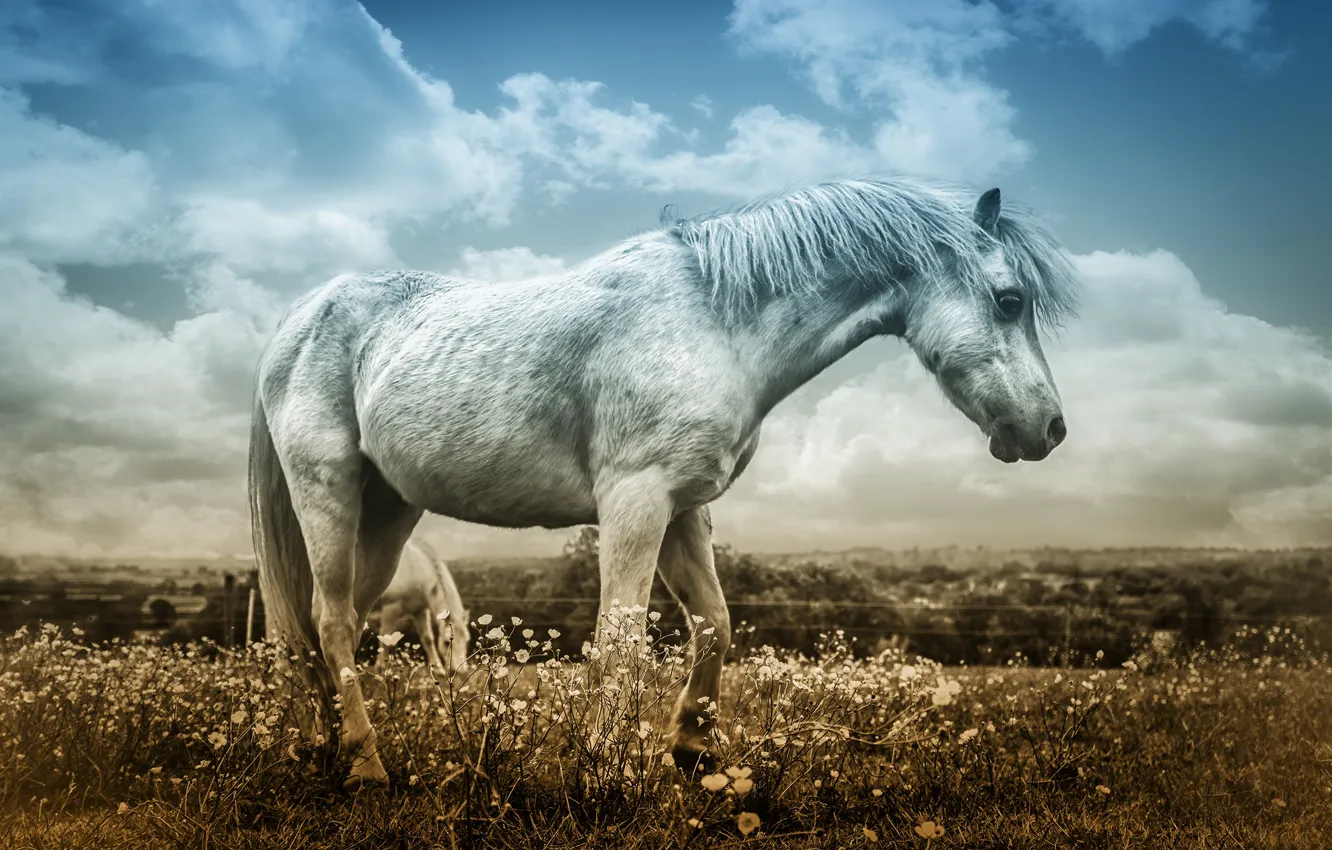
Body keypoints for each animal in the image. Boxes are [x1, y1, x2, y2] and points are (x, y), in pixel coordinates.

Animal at [365, 537, 470, 676]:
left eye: (466, 640)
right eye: (446, 642)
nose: (461, 671)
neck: (414, 569)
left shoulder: (420, 611)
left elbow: (427, 639)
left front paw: (438, 669)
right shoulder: (391, 608)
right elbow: (386, 638)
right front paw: (380, 670)